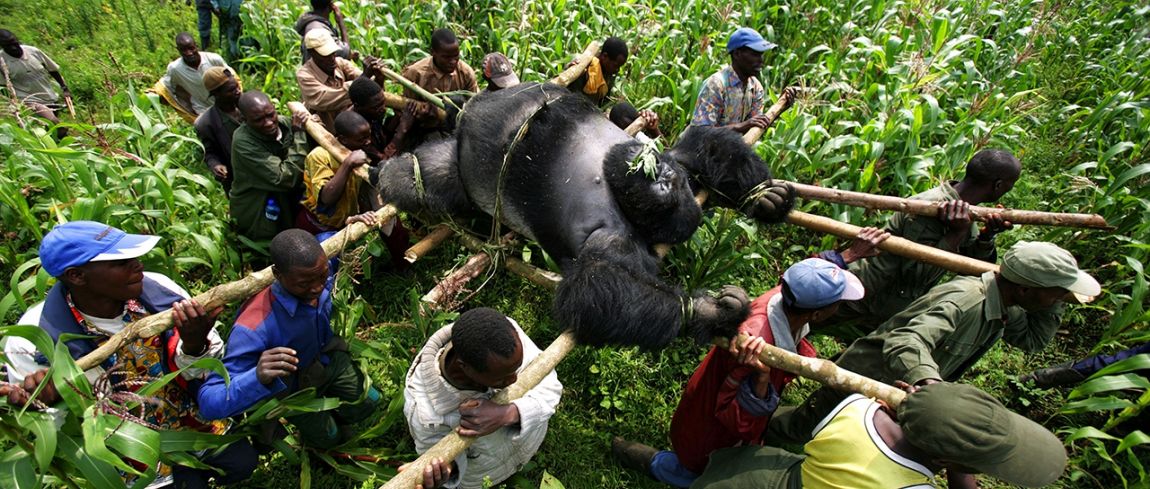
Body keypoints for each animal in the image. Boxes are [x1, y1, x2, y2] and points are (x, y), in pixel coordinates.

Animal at [377, 81, 791, 349]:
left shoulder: (614, 235)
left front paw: (705, 312)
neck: (610, 177)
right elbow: (706, 143)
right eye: (666, 180)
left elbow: (593, 287)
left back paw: (398, 175)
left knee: (430, 178)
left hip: (465, 167)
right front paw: (764, 196)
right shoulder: (674, 158)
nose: (659, 176)